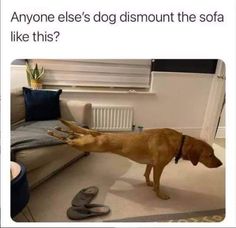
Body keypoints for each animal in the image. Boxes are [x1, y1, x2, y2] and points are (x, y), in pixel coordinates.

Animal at [48, 119, 223, 200]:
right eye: (210, 155)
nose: (221, 163)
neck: (179, 142)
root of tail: (98, 133)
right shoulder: (159, 167)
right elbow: (158, 183)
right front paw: (159, 195)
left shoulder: (151, 164)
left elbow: (147, 175)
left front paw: (148, 184)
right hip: (87, 145)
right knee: (68, 141)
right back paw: (53, 133)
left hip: (85, 140)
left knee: (73, 134)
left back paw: (60, 128)